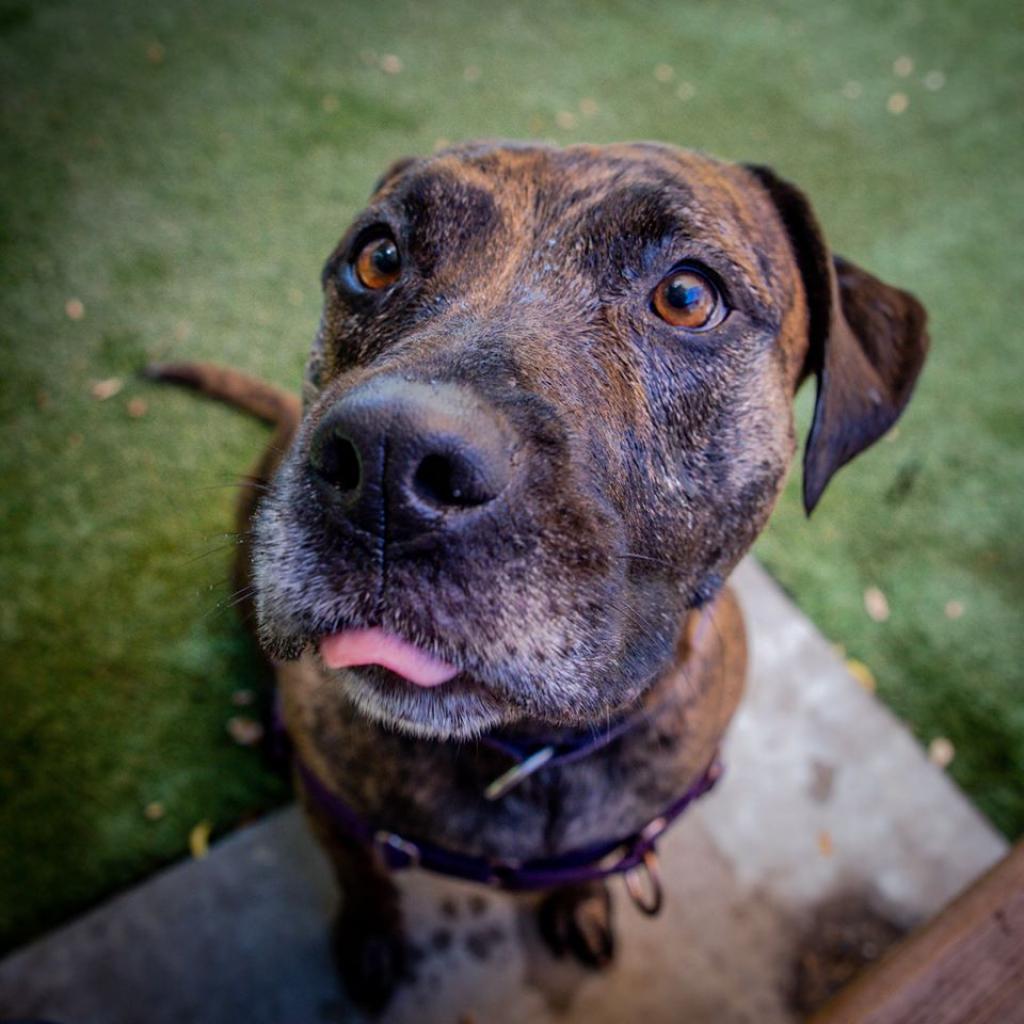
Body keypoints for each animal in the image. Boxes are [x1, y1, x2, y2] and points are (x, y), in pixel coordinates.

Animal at [149, 140, 929, 1011]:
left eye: (688, 296)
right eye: (378, 258)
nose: (386, 459)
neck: (529, 750)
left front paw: (579, 902)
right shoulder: (335, 809)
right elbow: (364, 881)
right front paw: (372, 938)